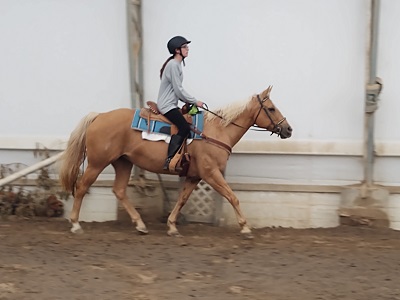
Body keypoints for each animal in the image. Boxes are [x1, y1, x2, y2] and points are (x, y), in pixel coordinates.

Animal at [58, 85, 290, 238]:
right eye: (271, 108)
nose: (288, 129)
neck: (217, 130)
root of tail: (99, 116)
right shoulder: (210, 173)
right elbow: (233, 197)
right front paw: (245, 227)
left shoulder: (194, 176)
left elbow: (182, 199)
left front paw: (171, 226)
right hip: (97, 163)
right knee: (81, 187)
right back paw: (76, 224)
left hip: (123, 162)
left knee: (120, 191)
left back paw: (140, 224)